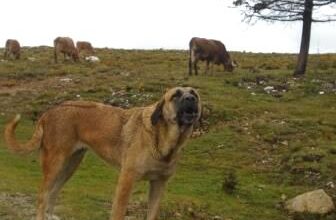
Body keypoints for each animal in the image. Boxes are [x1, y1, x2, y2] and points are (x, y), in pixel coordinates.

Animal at [4, 87, 202, 220]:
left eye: (194, 93)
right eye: (176, 95)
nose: (191, 98)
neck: (164, 139)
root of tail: (48, 112)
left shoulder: (159, 184)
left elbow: (152, 214)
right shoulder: (126, 180)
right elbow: (118, 213)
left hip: (70, 166)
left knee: (52, 194)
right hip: (55, 164)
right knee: (42, 196)